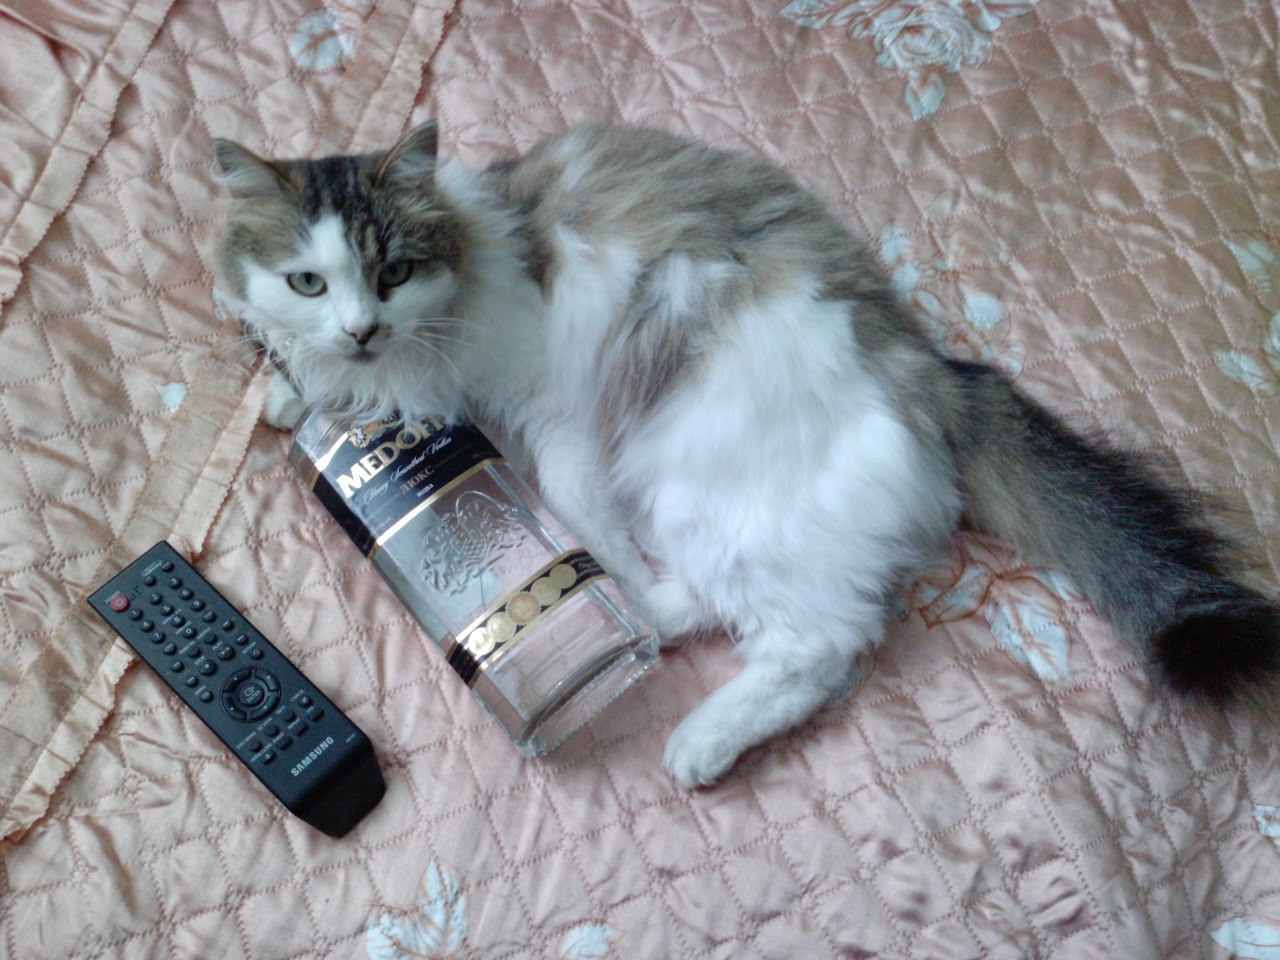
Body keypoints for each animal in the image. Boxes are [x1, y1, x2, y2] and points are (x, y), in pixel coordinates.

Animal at [214, 121, 1280, 788]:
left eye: (393, 271)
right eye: (308, 281)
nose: (358, 329)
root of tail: (938, 375)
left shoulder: (554, 415)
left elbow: (570, 492)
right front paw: (288, 391)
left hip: (695, 486)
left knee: (817, 644)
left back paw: (686, 719)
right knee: (751, 619)